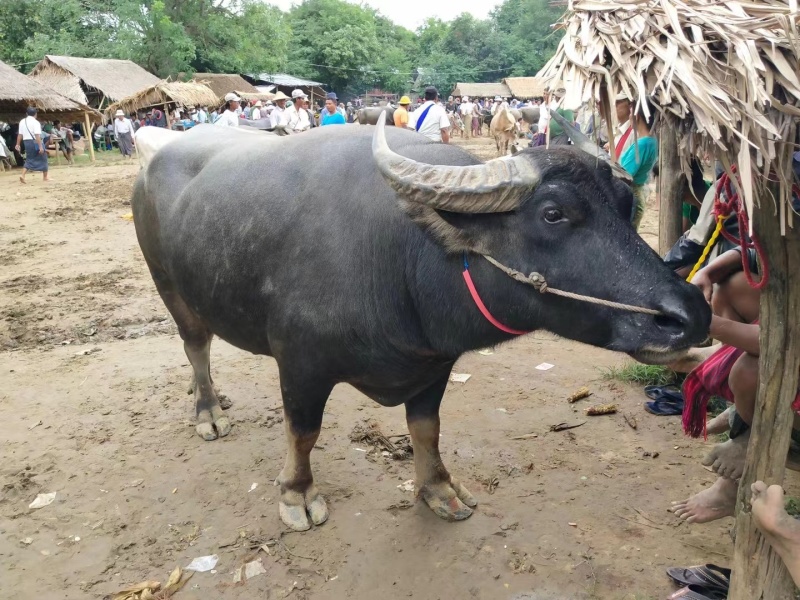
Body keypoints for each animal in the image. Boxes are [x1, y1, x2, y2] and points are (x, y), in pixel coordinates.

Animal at [133, 112, 712, 528]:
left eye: (626, 203)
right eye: (553, 214)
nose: (690, 313)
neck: (401, 255)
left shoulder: (435, 364)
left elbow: (426, 428)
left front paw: (438, 489)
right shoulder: (299, 364)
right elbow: (304, 432)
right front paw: (296, 494)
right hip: (168, 285)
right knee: (196, 345)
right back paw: (208, 409)